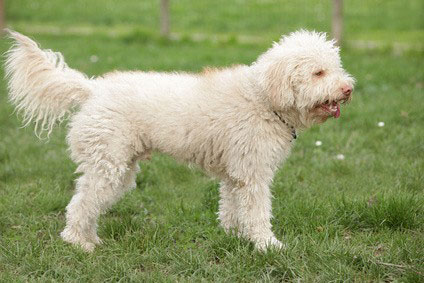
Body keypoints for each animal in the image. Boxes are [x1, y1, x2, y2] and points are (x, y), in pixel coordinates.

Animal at [4, 30, 354, 252]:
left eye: (336, 68)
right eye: (318, 72)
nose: (348, 88)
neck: (263, 98)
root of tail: (92, 89)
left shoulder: (235, 175)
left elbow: (231, 210)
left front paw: (234, 238)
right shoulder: (253, 174)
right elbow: (257, 214)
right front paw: (268, 246)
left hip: (118, 169)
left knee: (88, 202)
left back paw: (90, 239)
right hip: (108, 166)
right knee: (81, 203)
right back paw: (78, 243)